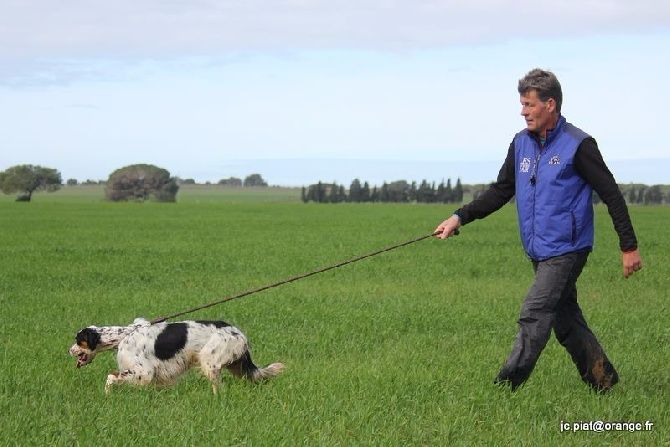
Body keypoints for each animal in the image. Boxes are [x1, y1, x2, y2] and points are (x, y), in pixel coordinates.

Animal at [69, 318, 284, 396]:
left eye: (78, 340)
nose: (69, 350)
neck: (124, 335)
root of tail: (239, 334)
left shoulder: (144, 372)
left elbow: (111, 377)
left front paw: (106, 395)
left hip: (210, 359)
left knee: (218, 387)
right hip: (236, 365)